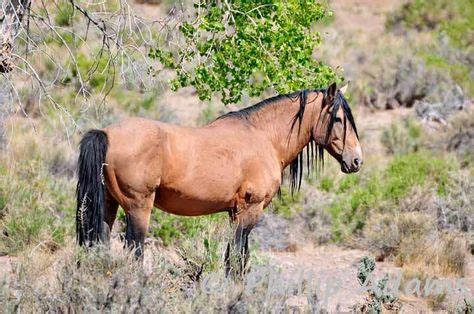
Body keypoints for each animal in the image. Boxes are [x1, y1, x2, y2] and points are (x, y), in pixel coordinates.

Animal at [75, 82, 362, 276]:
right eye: (338, 118)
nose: (356, 160)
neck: (263, 136)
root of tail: (106, 133)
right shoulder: (249, 211)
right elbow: (236, 259)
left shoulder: (235, 213)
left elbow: (234, 259)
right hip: (138, 208)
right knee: (134, 251)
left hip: (108, 206)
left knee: (99, 245)